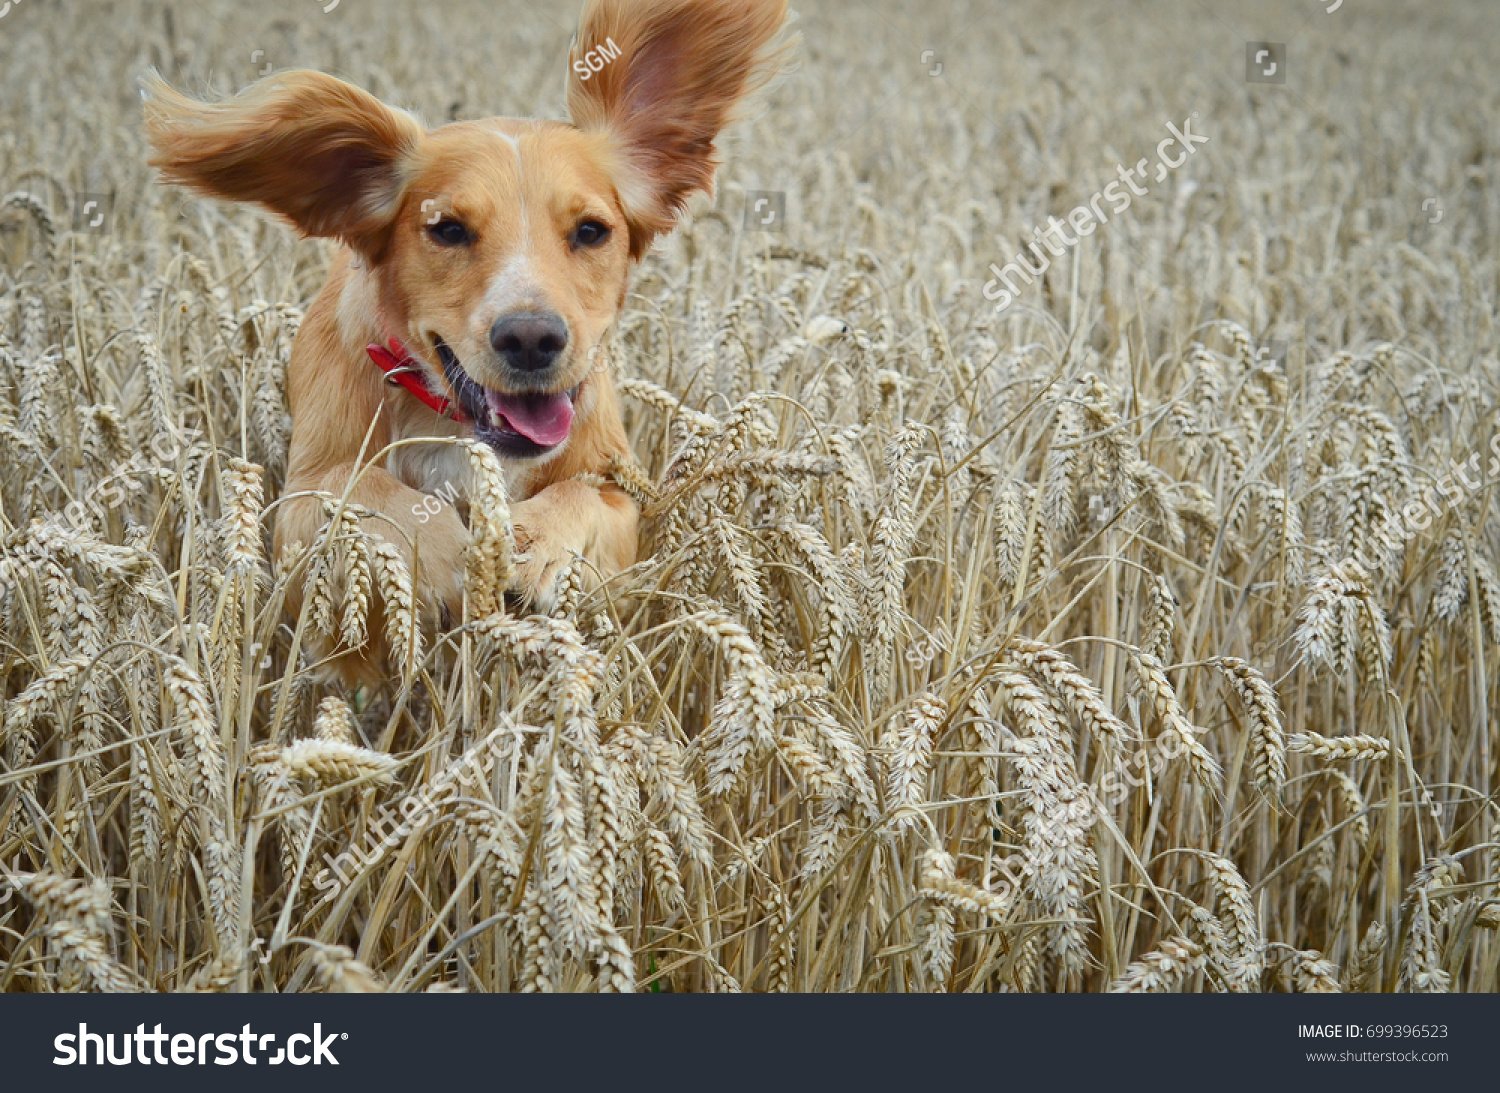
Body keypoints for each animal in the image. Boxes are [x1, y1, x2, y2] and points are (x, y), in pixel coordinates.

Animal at [146, 0, 792, 677]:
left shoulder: (621, 493)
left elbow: (585, 498)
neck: (456, 424)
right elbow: (358, 489)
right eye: (448, 229)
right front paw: (444, 555)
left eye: (591, 231)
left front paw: (533, 542)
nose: (532, 338)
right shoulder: (296, 502)